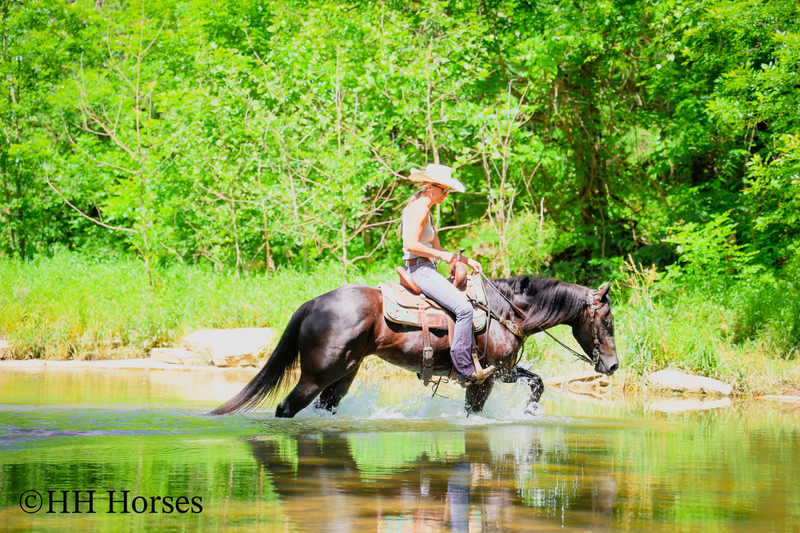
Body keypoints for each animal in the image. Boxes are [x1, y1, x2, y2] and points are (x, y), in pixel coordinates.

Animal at [211, 277, 618, 418]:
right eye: (608, 321)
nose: (612, 366)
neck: (506, 312)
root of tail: (315, 303)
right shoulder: (484, 378)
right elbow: (474, 413)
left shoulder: (501, 372)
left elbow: (537, 382)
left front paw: (530, 412)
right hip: (315, 375)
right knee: (285, 408)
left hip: (343, 376)